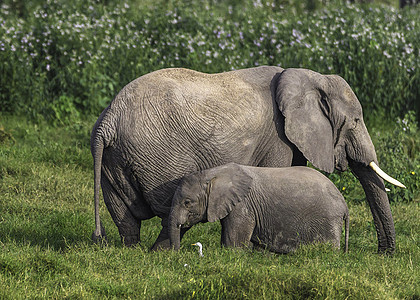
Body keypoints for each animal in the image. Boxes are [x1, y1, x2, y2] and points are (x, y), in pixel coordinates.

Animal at [167, 163, 348, 254]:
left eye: (187, 203)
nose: (177, 254)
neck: (213, 174)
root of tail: (344, 203)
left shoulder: (243, 206)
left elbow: (233, 243)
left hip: (327, 221)